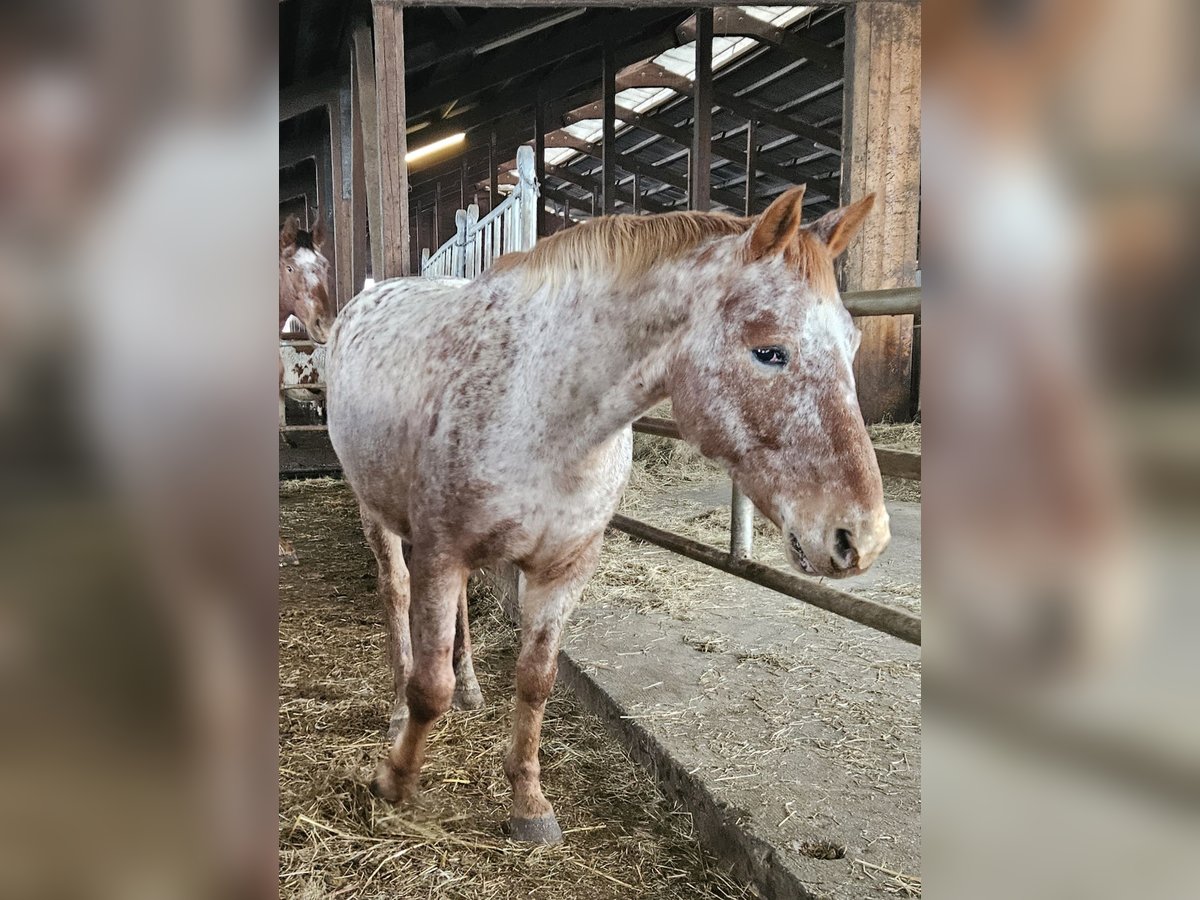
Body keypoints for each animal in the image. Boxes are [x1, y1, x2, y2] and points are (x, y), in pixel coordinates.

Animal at [324, 184, 888, 844]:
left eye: (853, 345)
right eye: (769, 351)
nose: (861, 537)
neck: (543, 411)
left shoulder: (564, 567)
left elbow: (535, 680)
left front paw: (529, 804)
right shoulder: (443, 552)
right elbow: (427, 687)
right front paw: (394, 782)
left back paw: (471, 688)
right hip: (378, 514)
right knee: (395, 594)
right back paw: (395, 711)